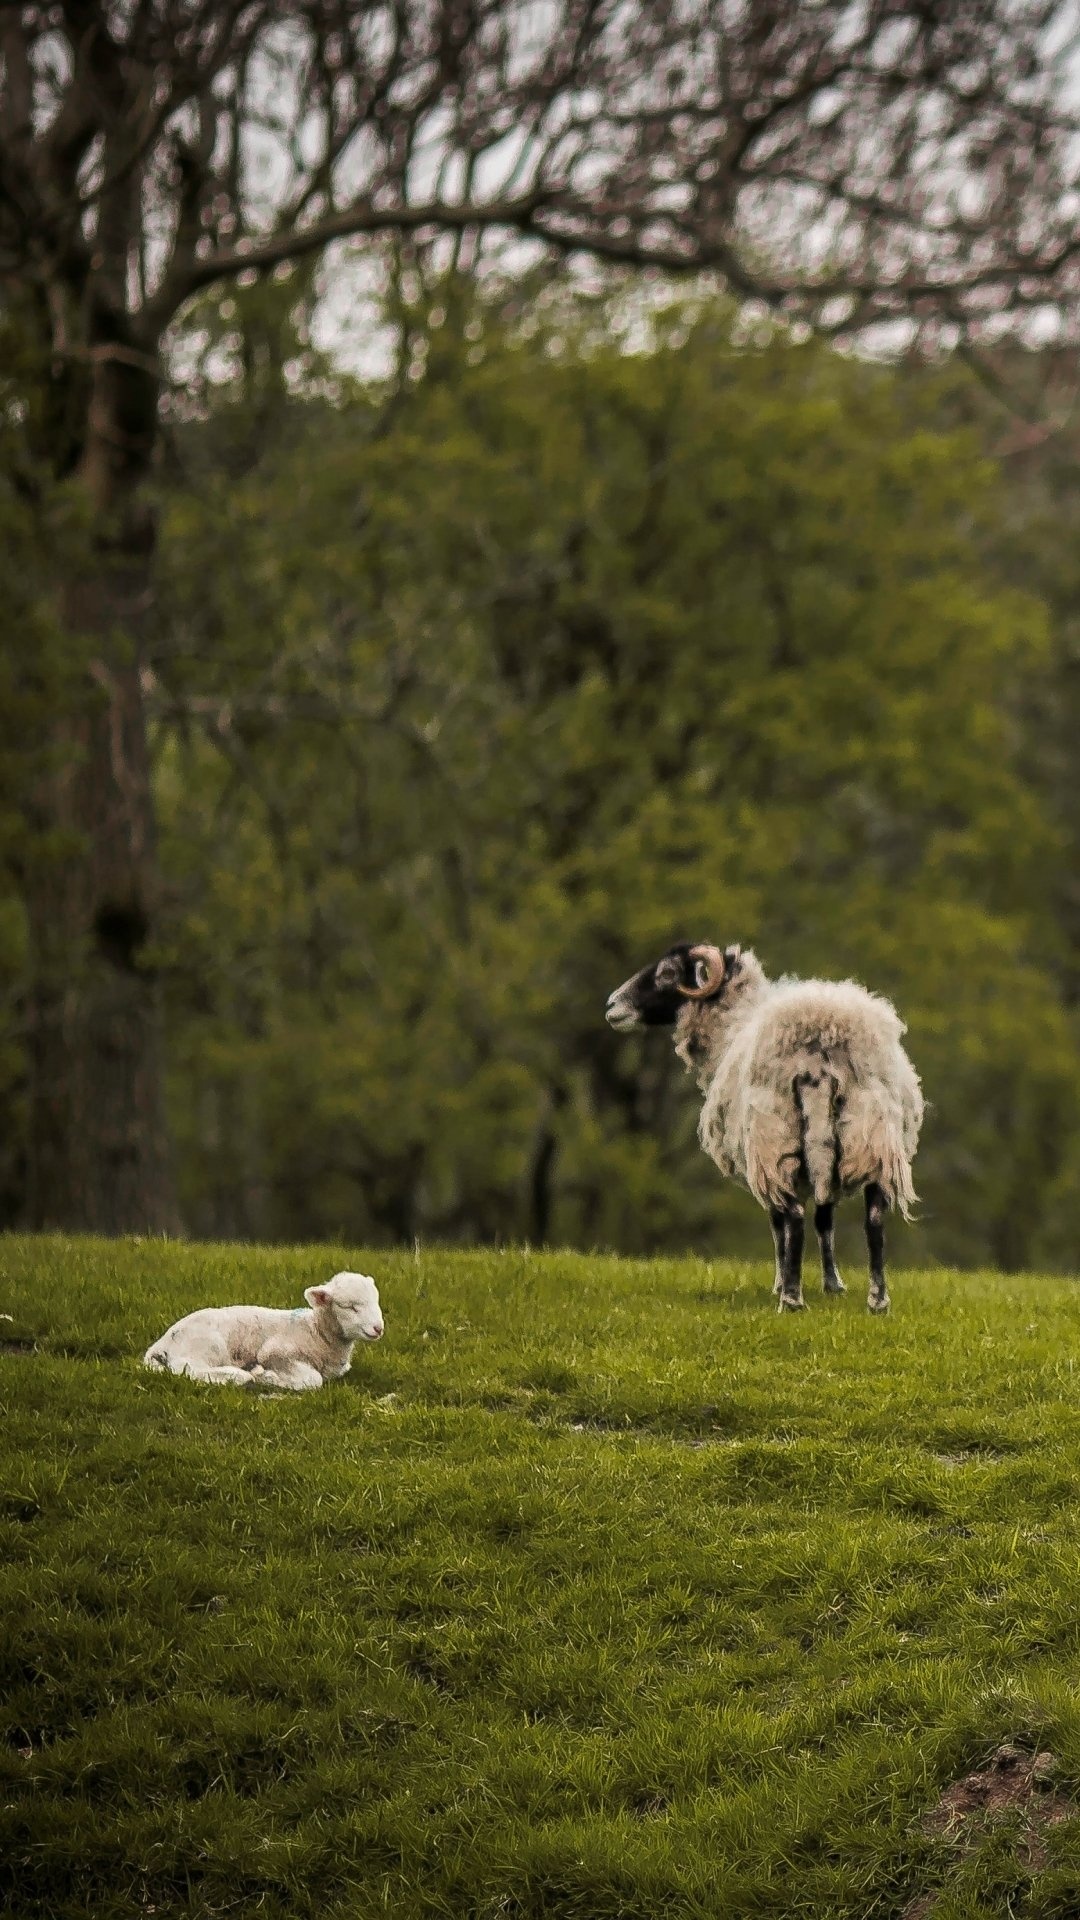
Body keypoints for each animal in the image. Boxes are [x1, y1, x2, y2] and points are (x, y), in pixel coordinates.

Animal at [141, 1267, 380, 1390]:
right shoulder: (274, 1351)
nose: (378, 1328)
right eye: (350, 1306)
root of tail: (160, 1345)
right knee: (188, 1370)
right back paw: (238, 1375)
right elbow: (313, 1380)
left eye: (376, 1301)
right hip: (206, 1345)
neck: (316, 1332)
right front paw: (271, 1377)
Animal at [599, 936, 922, 1313]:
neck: (729, 1025)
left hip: (775, 1134)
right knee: (873, 1216)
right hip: (870, 1132)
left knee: (792, 1215)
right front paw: (833, 1284)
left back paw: (791, 1298)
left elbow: (779, 1224)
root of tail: (818, 1049)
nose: (612, 1005)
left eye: (666, 974)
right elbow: (825, 1219)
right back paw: (878, 1300)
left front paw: (782, 1282)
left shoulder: (757, 1155)